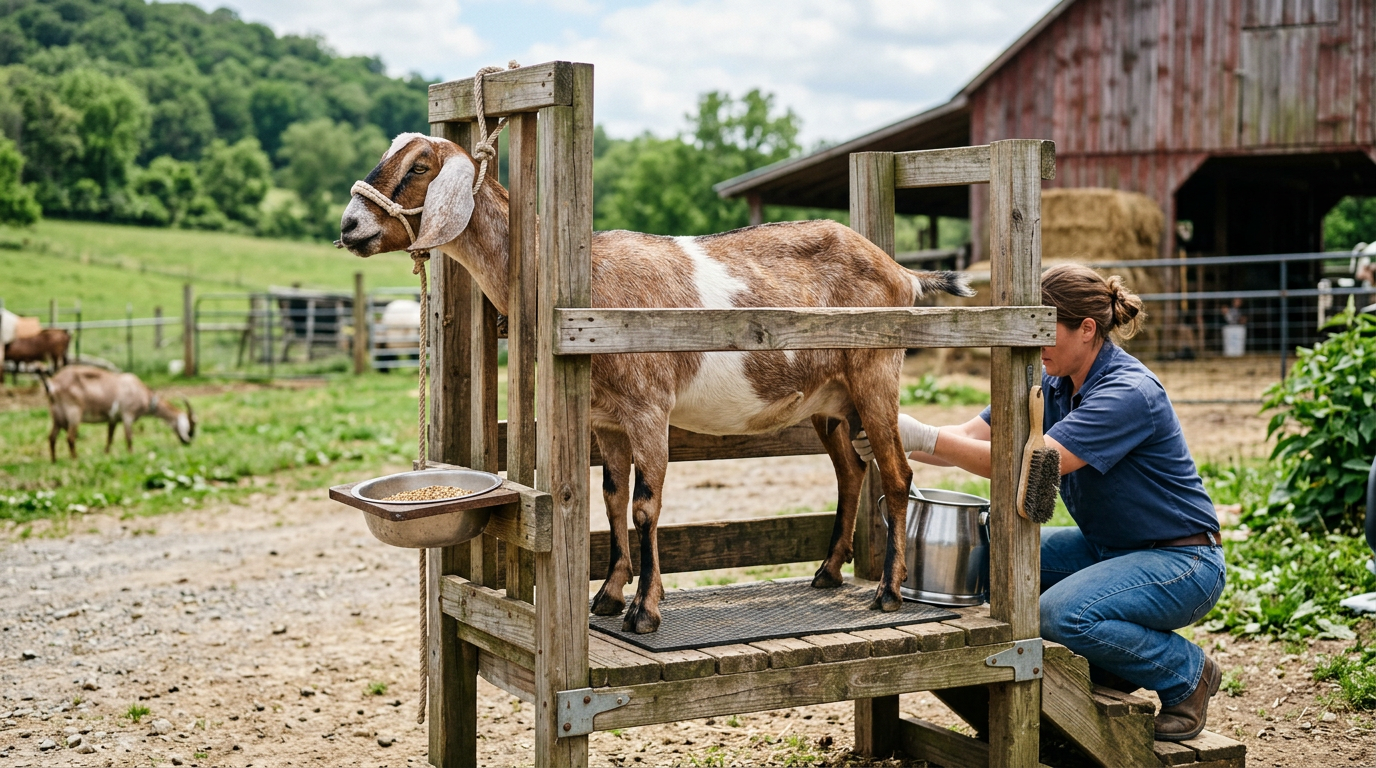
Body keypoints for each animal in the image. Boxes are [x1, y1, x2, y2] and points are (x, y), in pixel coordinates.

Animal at [41, 365, 196, 462]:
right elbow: (129, 438)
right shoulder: (128, 415)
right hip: (74, 413)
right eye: (191, 426)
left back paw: (54, 461)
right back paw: (75, 459)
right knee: (70, 437)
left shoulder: (113, 419)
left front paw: (106, 454)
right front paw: (131, 455)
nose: (188, 442)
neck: (142, 393)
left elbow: (109, 438)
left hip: (57, 416)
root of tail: (53, 384)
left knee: (51, 437)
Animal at [338, 133, 973, 633]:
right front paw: (607, 595)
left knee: (897, 473)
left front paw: (645, 609)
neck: (582, 286)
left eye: (419, 166)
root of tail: (900, 271)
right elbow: (611, 497)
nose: (350, 226)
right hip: (830, 400)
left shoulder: (648, 409)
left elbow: (645, 506)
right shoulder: (607, 419)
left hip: (876, 371)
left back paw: (887, 592)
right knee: (852, 471)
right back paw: (828, 571)